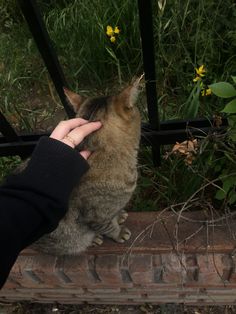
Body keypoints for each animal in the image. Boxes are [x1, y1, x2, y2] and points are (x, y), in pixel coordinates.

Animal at [32, 78, 141, 255]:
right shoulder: (95, 217)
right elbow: (108, 226)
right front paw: (118, 233)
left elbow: (113, 215)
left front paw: (119, 215)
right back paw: (93, 239)